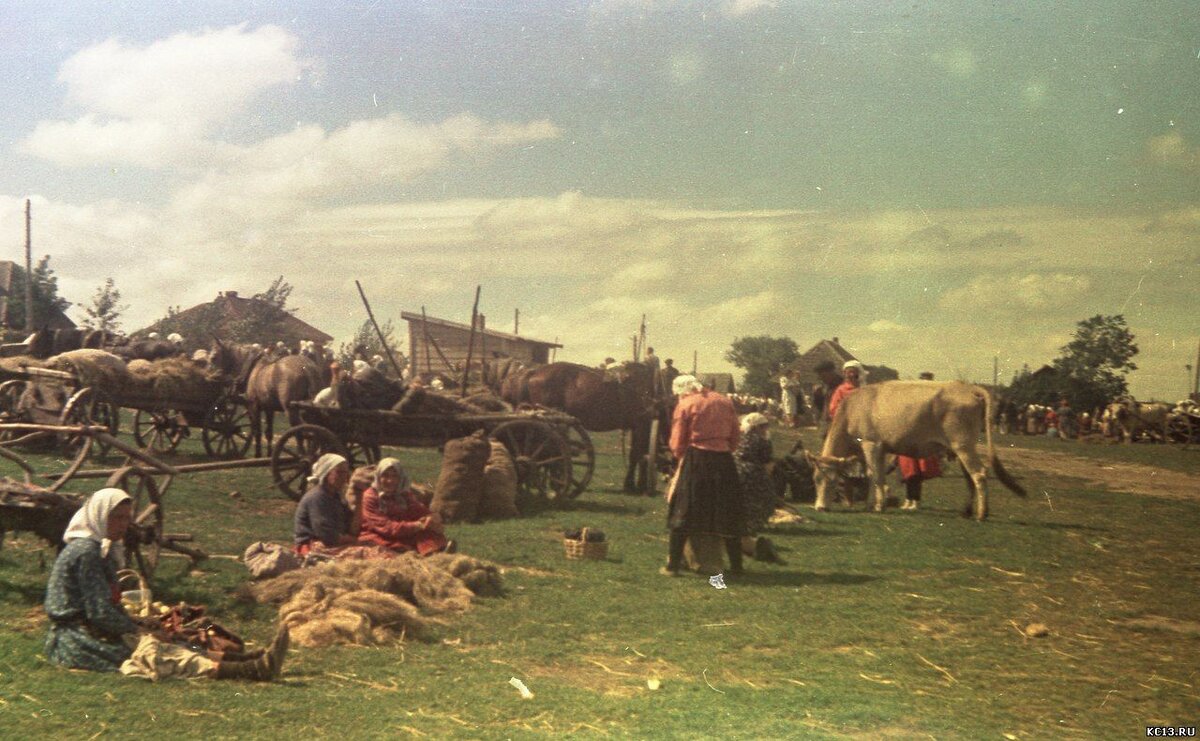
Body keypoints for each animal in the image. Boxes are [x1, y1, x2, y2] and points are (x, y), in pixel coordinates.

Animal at [806, 381, 1022, 520]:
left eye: (834, 481)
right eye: (815, 479)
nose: (820, 508)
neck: (852, 409)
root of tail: (969, 388)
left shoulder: (870, 443)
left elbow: (874, 475)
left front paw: (877, 506)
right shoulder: (880, 448)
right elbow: (875, 475)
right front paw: (875, 503)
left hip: (963, 445)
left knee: (979, 474)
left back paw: (981, 514)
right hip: (963, 447)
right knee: (970, 477)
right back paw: (967, 511)